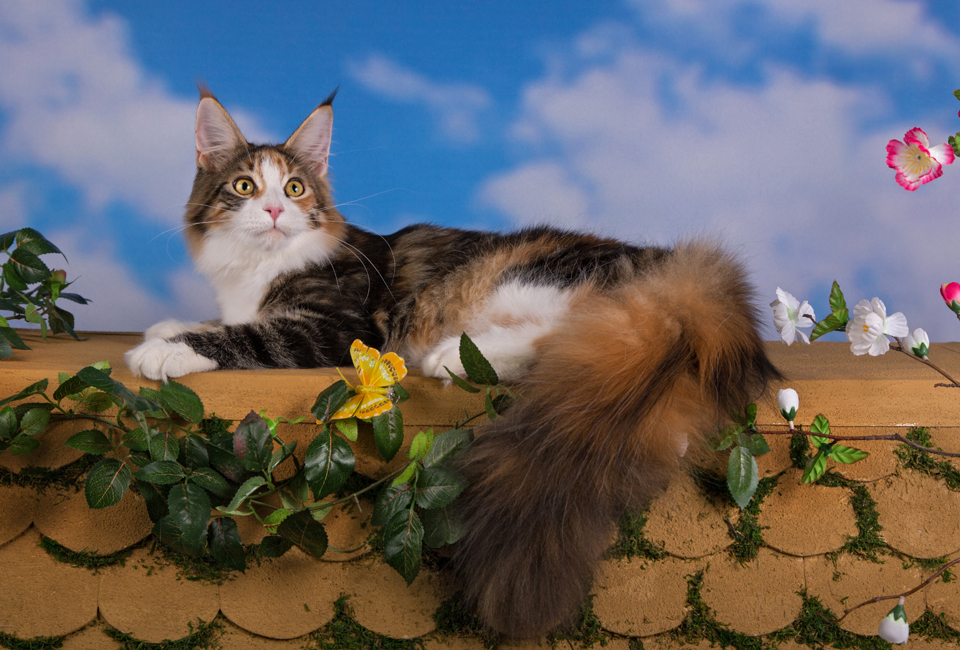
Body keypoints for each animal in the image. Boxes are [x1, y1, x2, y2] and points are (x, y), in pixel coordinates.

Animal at [124, 88, 784, 636]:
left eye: (294, 189)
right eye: (244, 187)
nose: (273, 213)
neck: (256, 267)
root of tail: (678, 276)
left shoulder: (333, 327)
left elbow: (247, 335)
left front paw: (162, 349)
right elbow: (222, 320)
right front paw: (166, 326)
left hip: (533, 281)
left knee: (563, 337)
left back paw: (452, 358)